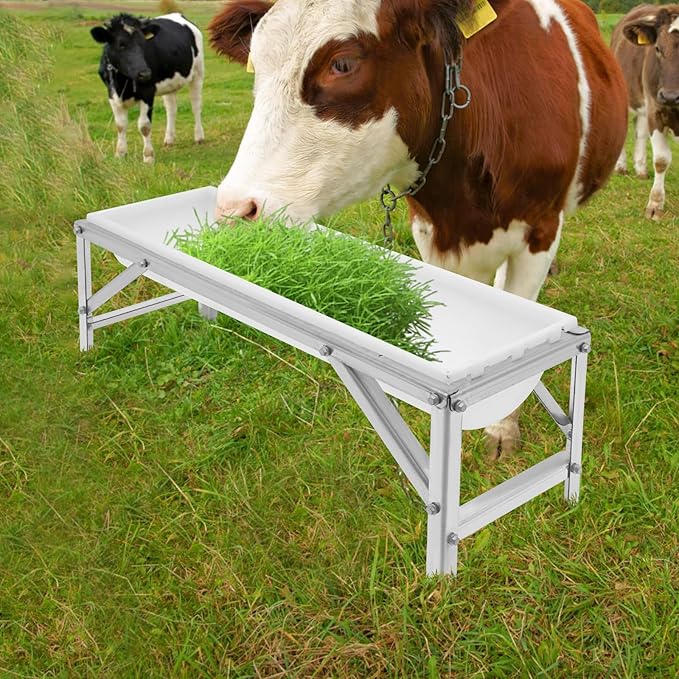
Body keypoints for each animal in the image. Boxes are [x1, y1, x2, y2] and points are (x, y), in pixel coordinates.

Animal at [91, 13, 205, 163]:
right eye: (121, 45)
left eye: (143, 44)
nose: (145, 73)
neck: (122, 82)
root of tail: (178, 14)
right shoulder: (112, 94)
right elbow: (120, 125)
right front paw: (120, 154)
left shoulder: (148, 92)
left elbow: (144, 125)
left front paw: (148, 156)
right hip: (170, 83)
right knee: (171, 109)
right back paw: (169, 139)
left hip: (198, 73)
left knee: (196, 105)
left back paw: (199, 136)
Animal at [207, 0, 627, 457]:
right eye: (256, 63)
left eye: (342, 63)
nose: (234, 209)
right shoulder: (429, 230)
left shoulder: (540, 227)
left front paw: (501, 428)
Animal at [612, 5, 679, 219]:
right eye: (657, 48)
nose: (670, 96)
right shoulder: (655, 111)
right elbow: (661, 160)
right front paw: (655, 204)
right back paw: (621, 167)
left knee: (640, 133)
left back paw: (641, 169)